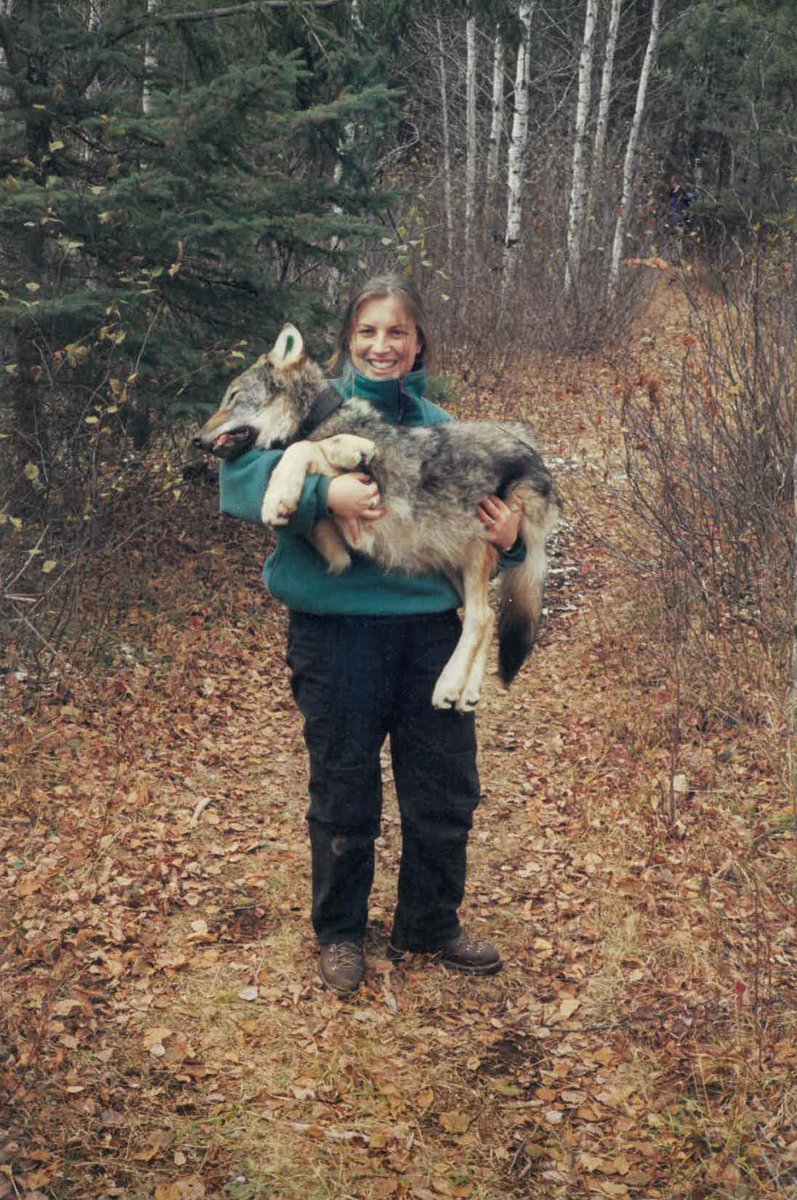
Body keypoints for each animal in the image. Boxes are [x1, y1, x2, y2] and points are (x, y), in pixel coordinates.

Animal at [196, 324, 560, 712]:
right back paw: (467, 692)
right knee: (483, 620)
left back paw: (448, 686)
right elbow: (309, 464)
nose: (196, 440)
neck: (320, 418)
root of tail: (536, 458)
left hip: (476, 543)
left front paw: (283, 491)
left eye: (232, 396)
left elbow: (302, 447)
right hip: (453, 562)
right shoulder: (346, 535)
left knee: (482, 616)